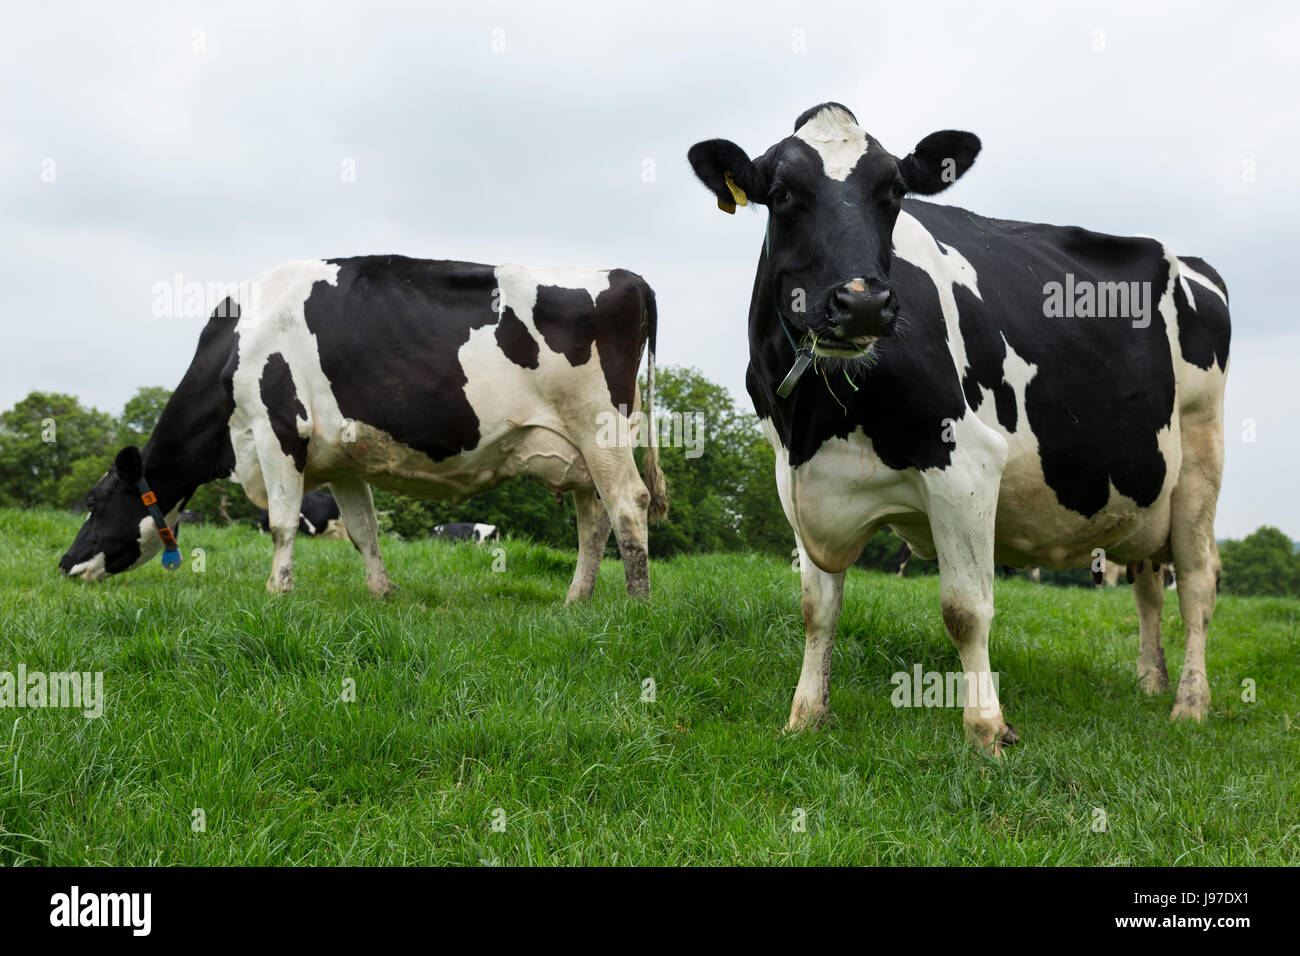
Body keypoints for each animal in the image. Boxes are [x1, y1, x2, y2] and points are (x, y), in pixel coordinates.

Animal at [60, 257, 668, 601]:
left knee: (627, 504)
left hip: (600, 426)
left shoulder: (278, 431)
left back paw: (636, 605)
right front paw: (382, 592)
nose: (64, 564)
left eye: (94, 501)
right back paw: (576, 600)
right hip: (580, 448)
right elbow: (363, 530)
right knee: (593, 519)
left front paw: (276, 593)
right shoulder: (341, 458)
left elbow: (281, 523)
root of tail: (628, 277)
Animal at [688, 103, 1229, 752]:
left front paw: (987, 729)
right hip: (1146, 491)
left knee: (1197, 584)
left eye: (895, 190)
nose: (862, 304)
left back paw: (1190, 704)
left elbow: (965, 609)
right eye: (782, 191)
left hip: (1201, 457)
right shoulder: (794, 476)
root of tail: (1192, 262)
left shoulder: (965, 463)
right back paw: (1151, 682)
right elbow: (817, 607)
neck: (818, 417)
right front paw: (806, 715)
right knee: (1149, 582)